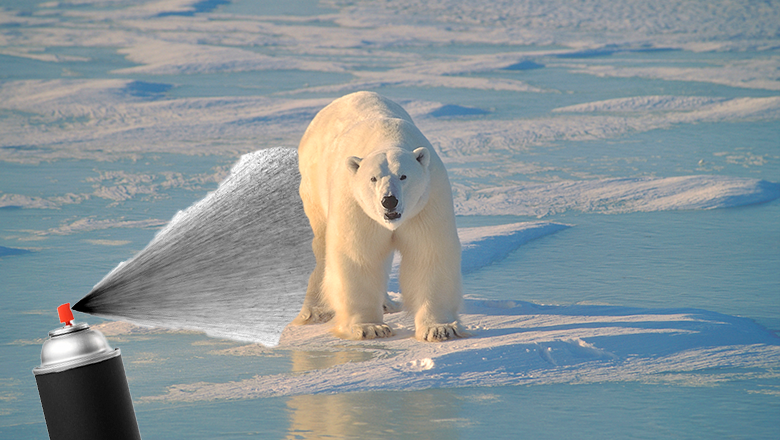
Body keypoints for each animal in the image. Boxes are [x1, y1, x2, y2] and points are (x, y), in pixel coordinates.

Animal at [292, 91, 464, 342]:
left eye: (403, 176)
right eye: (373, 178)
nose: (389, 201)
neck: (386, 137)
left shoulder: (427, 201)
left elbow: (429, 253)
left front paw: (439, 328)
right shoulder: (354, 202)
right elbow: (358, 255)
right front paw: (370, 327)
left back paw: (385, 303)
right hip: (314, 186)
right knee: (320, 246)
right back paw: (314, 311)